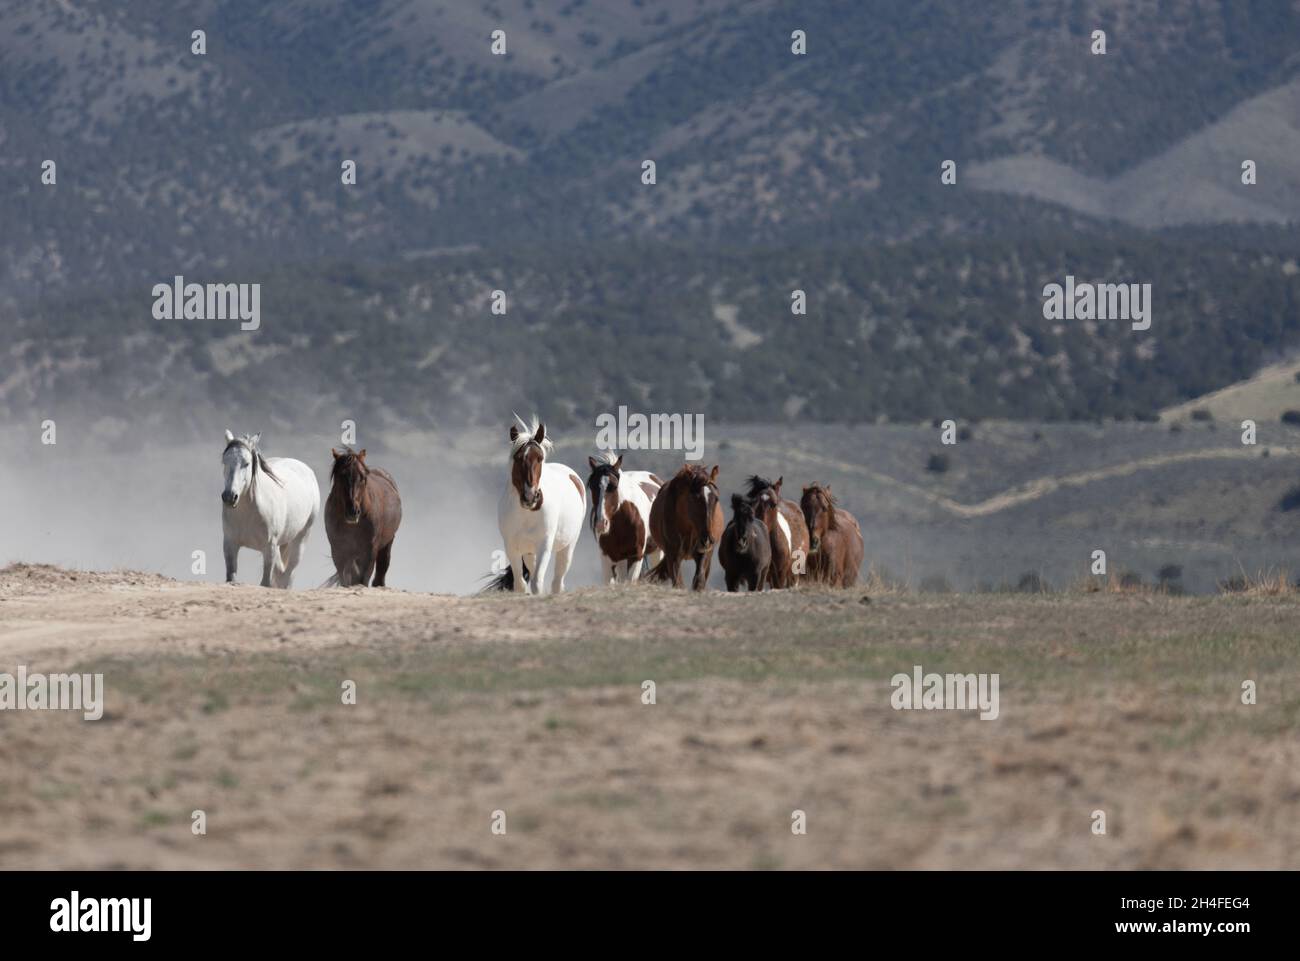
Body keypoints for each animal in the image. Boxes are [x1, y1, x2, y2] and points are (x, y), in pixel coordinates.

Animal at [219, 431, 318, 590]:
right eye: (224, 462)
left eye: (246, 463)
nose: (229, 497)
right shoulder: (229, 544)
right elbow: (231, 577)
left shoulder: (269, 548)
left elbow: (266, 582)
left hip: (302, 537)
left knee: (288, 573)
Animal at [321, 449, 397, 585]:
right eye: (341, 476)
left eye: (362, 477)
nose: (353, 511)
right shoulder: (338, 549)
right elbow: (345, 576)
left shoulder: (370, 550)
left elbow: (364, 577)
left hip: (387, 543)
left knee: (382, 568)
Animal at [488, 416, 587, 592]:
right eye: (518, 458)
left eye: (540, 458)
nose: (530, 497)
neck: (527, 514)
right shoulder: (512, 547)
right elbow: (520, 584)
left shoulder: (544, 545)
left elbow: (536, 582)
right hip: (529, 552)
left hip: (567, 547)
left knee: (558, 581)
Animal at [587, 452, 665, 585]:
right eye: (592, 487)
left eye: (614, 486)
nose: (601, 524)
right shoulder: (607, 558)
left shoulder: (636, 556)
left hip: (657, 551)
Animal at [647, 462, 728, 590]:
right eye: (694, 498)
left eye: (716, 498)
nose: (707, 539)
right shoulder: (673, 555)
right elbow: (678, 583)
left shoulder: (703, 554)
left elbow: (699, 581)